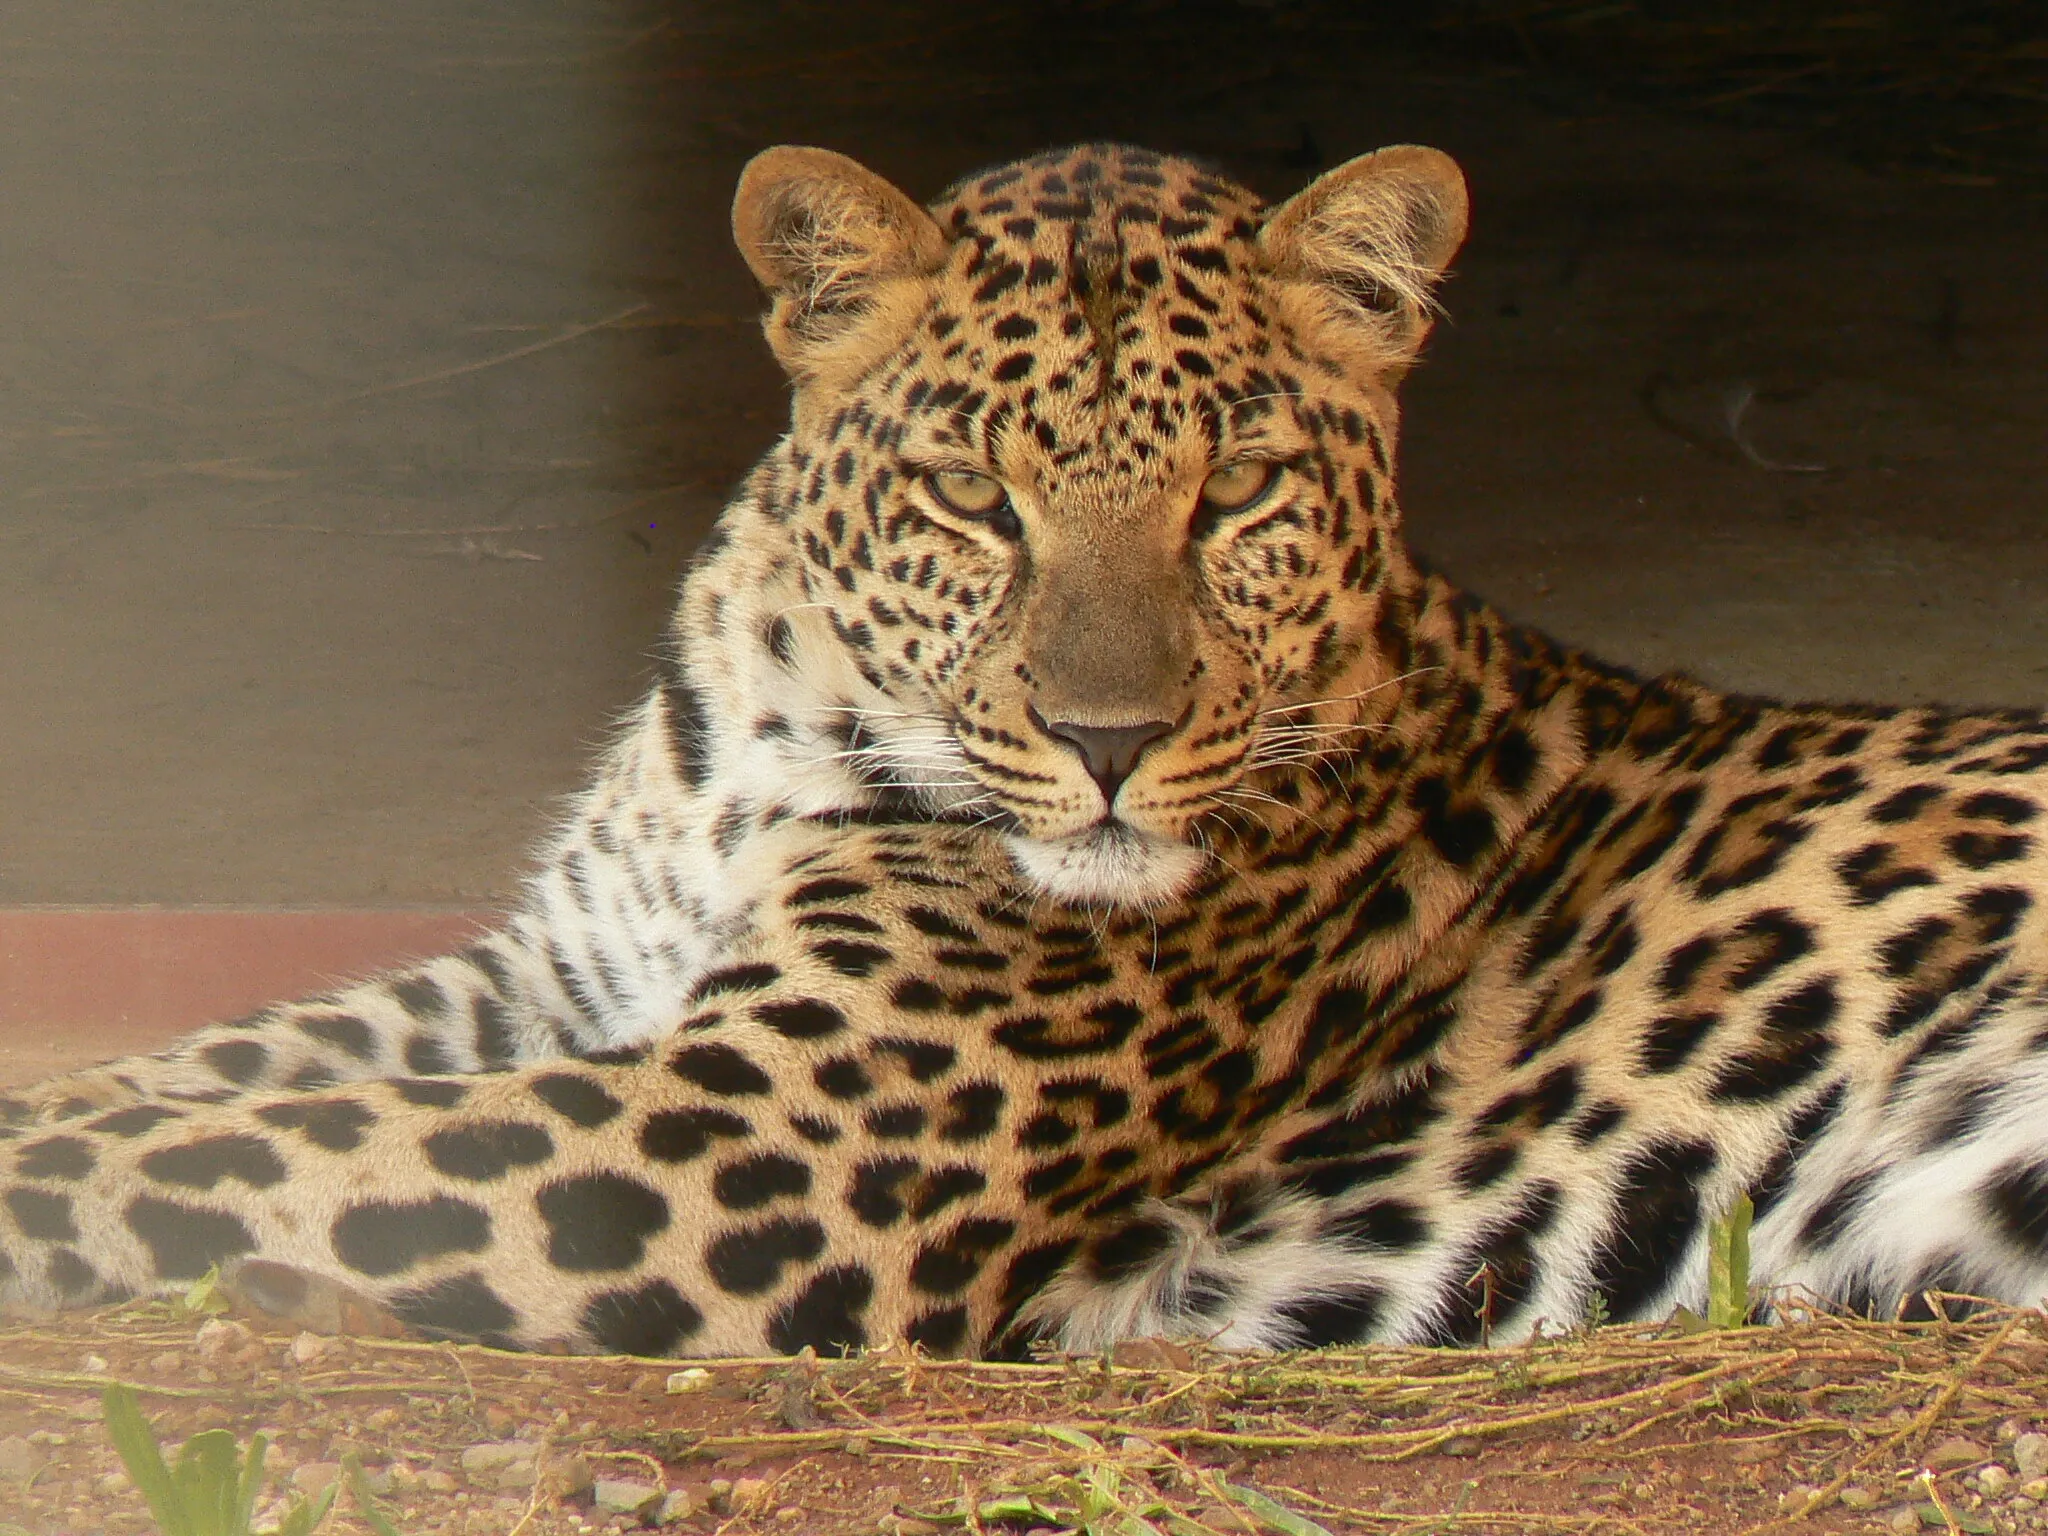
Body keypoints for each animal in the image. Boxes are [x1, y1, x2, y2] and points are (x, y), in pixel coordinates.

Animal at [5, 140, 2048, 1361]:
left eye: (1238, 490)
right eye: (978, 500)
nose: (1109, 744)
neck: (770, 725)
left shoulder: (734, 1138)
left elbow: (246, 1145)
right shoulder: (553, 979)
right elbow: (210, 1069)